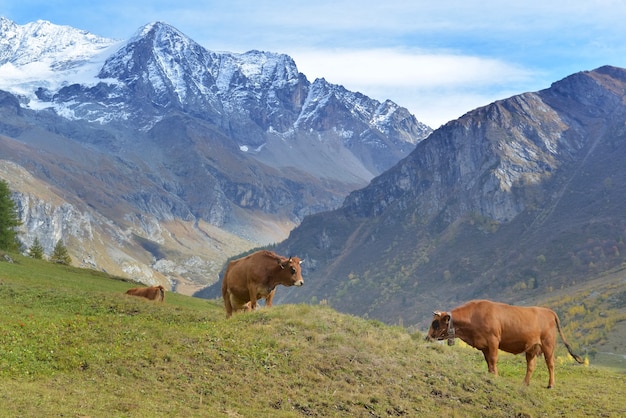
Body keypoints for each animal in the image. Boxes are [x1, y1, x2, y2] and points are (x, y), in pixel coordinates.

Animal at [426, 298, 584, 386]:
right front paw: (491, 375)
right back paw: (525, 383)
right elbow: (488, 362)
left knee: (550, 364)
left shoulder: (493, 340)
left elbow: (493, 359)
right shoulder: (484, 346)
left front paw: (495, 376)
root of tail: (548, 311)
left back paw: (551, 384)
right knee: (531, 366)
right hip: (532, 348)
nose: (427, 337)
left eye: (435, 323)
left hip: (548, 344)